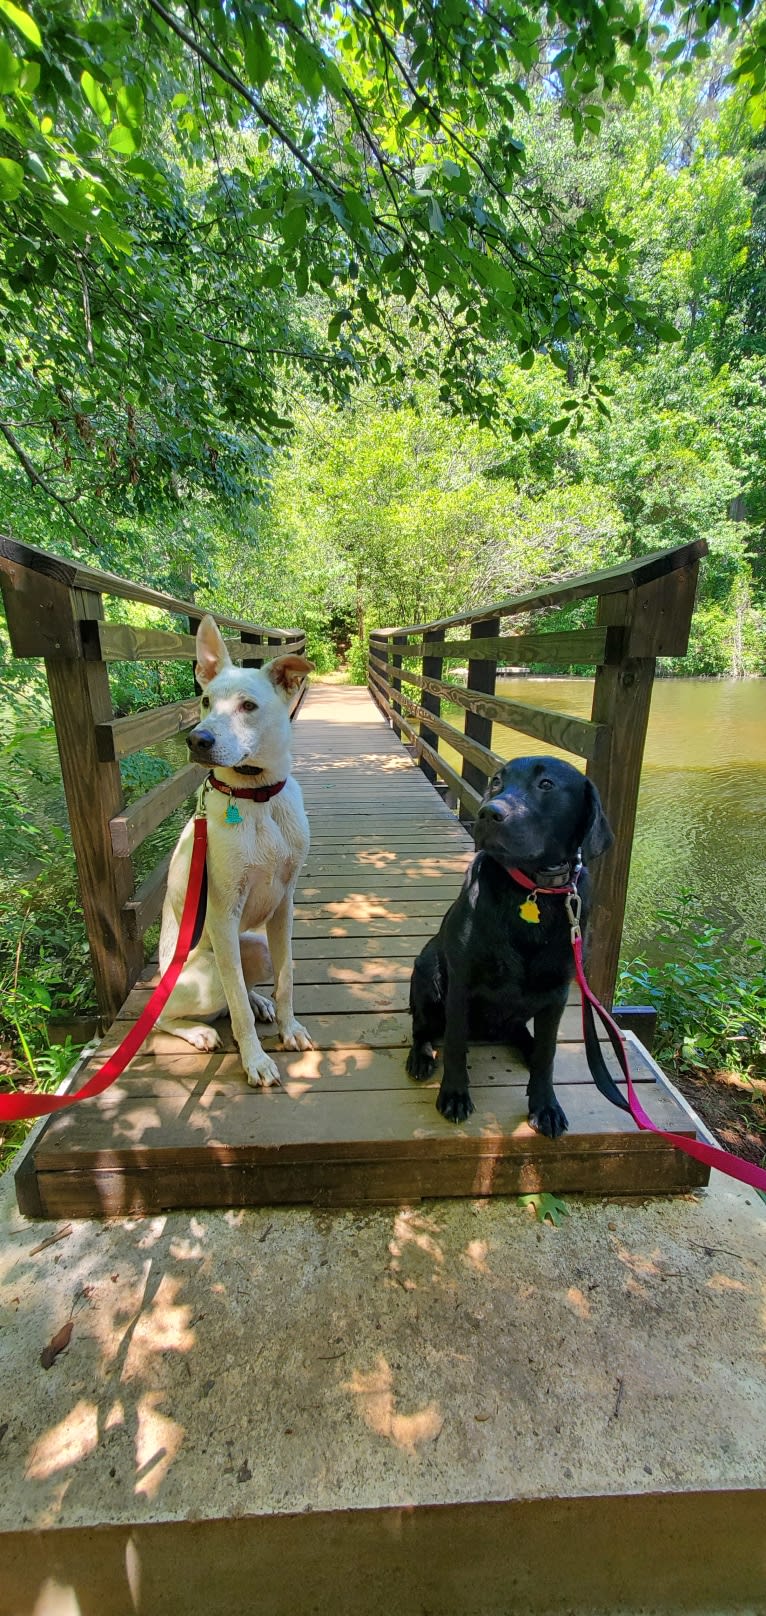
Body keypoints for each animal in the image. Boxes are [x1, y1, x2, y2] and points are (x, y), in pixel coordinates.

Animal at [156, 610, 315, 1092]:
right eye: (206, 701)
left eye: (248, 706)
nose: (197, 741)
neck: (257, 796)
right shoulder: (223, 914)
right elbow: (238, 1011)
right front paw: (256, 1061)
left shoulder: (284, 904)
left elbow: (287, 977)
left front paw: (288, 1028)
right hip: (203, 975)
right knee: (174, 1015)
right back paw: (199, 1032)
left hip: (254, 946)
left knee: (241, 987)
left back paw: (259, 1000)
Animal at [407, 759, 617, 1131]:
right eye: (496, 781)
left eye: (546, 784)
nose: (489, 813)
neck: (532, 889)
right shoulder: (461, 983)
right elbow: (456, 1045)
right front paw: (455, 1095)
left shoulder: (556, 991)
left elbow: (548, 1056)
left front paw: (545, 1106)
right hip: (428, 971)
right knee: (423, 1026)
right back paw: (421, 1056)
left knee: (522, 1035)